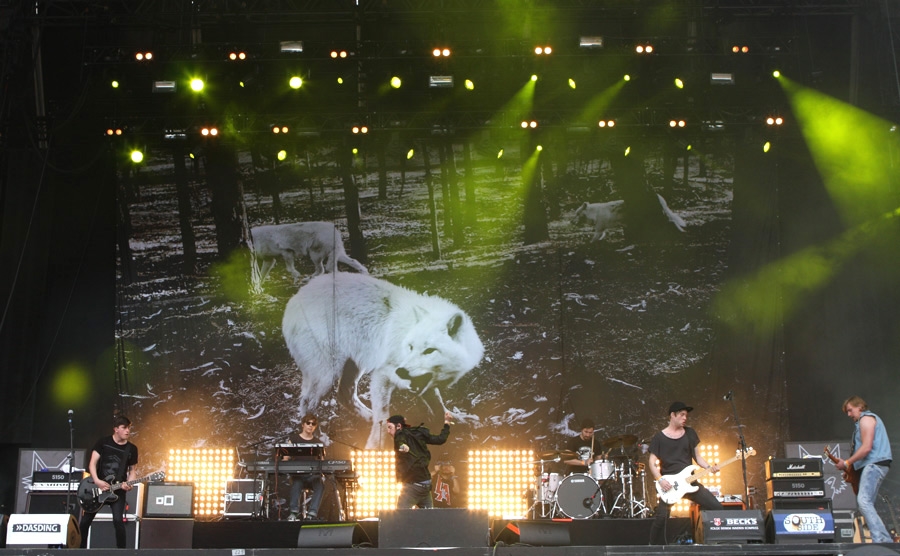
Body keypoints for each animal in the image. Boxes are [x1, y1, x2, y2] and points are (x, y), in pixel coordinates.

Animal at [284, 272, 486, 450]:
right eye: (411, 347)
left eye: (429, 350)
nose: (401, 371)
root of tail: (292, 301)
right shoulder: (382, 374)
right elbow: (383, 415)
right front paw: (377, 445)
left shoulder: (423, 382)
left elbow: (438, 404)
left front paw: (455, 419)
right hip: (327, 375)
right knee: (307, 403)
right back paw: (318, 438)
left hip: (354, 365)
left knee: (344, 395)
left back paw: (367, 417)